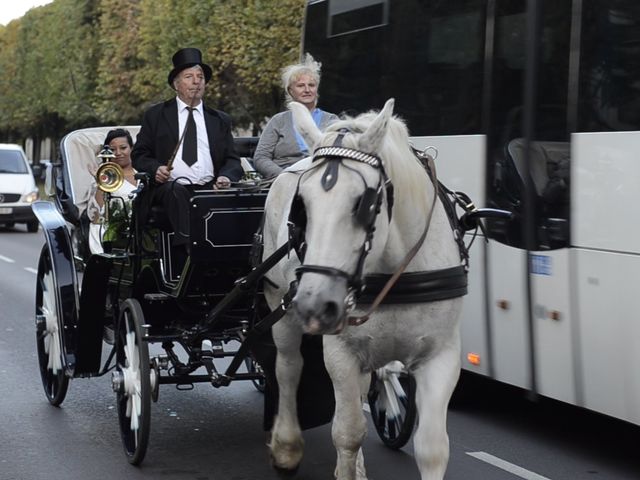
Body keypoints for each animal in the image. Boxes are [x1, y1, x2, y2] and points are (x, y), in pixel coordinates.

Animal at [260, 98, 464, 480]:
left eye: (365, 204)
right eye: (301, 206)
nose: (315, 304)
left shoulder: (441, 355)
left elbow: (432, 448)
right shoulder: (340, 352)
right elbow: (348, 433)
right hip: (280, 305)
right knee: (288, 367)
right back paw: (287, 446)